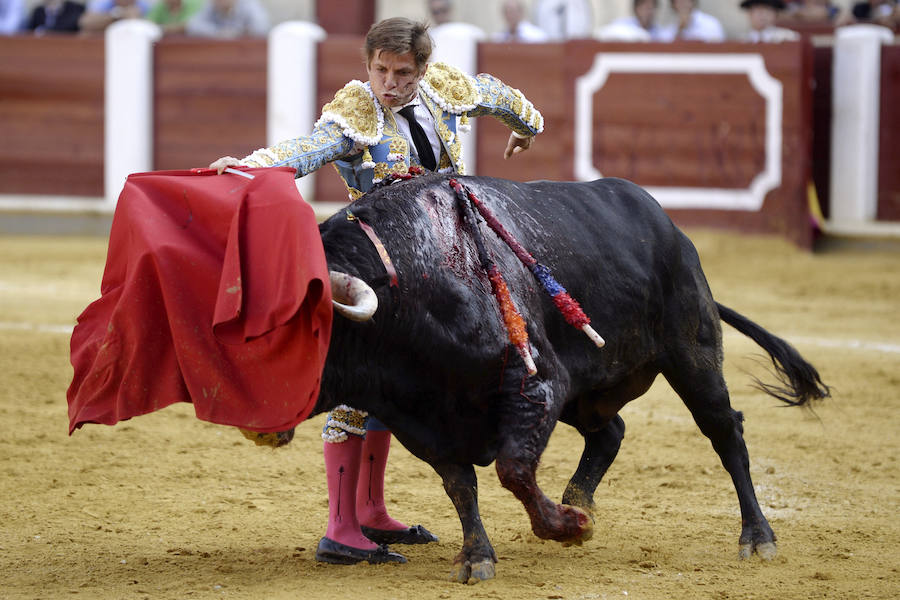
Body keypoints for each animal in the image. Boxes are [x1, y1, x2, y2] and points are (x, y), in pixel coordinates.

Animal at [282, 172, 828, 580]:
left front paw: (569, 527)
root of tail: (671, 229)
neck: (408, 284)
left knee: (725, 431)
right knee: (610, 431)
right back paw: (582, 501)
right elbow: (460, 485)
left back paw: (757, 538)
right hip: (587, 396)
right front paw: (479, 557)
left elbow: (512, 470)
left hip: (692, 357)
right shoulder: (422, 418)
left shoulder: (536, 383)